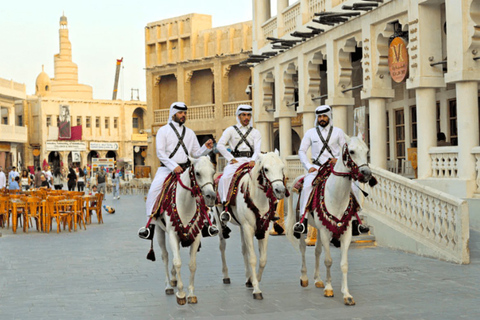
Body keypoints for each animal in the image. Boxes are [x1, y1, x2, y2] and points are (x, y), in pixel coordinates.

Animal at [153, 157, 215, 304]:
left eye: (213, 172)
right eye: (197, 173)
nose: (211, 196)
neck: (185, 204)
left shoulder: (195, 236)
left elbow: (192, 264)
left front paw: (191, 293)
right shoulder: (172, 235)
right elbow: (177, 262)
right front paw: (181, 294)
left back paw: (173, 279)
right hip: (159, 231)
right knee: (165, 256)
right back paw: (169, 286)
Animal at [216, 151, 286, 300]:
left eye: (282, 167)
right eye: (266, 169)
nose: (280, 190)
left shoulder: (263, 229)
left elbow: (263, 259)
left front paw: (255, 280)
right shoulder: (248, 227)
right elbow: (253, 258)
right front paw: (256, 290)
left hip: (242, 226)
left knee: (244, 249)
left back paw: (248, 278)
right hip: (220, 222)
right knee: (222, 246)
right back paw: (226, 275)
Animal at [286, 135, 374, 304]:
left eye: (367, 150)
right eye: (351, 151)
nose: (366, 173)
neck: (337, 196)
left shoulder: (345, 233)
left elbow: (344, 264)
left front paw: (346, 294)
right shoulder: (326, 234)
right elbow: (328, 260)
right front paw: (329, 289)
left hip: (320, 229)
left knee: (317, 251)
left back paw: (318, 279)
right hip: (304, 227)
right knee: (303, 249)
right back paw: (305, 278)